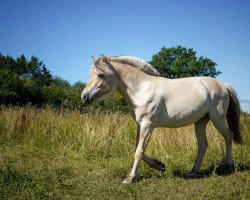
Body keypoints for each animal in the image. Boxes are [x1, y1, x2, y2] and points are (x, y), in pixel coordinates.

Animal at [81, 54, 243, 184]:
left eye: (100, 75)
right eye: (90, 74)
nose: (84, 96)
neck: (141, 89)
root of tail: (223, 86)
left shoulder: (147, 125)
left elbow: (139, 151)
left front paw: (130, 178)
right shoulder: (140, 125)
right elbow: (137, 148)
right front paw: (159, 165)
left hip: (218, 119)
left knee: (229, 137)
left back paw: (229, 166)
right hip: (201, 121)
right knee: (203, 145)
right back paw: (193, 172)